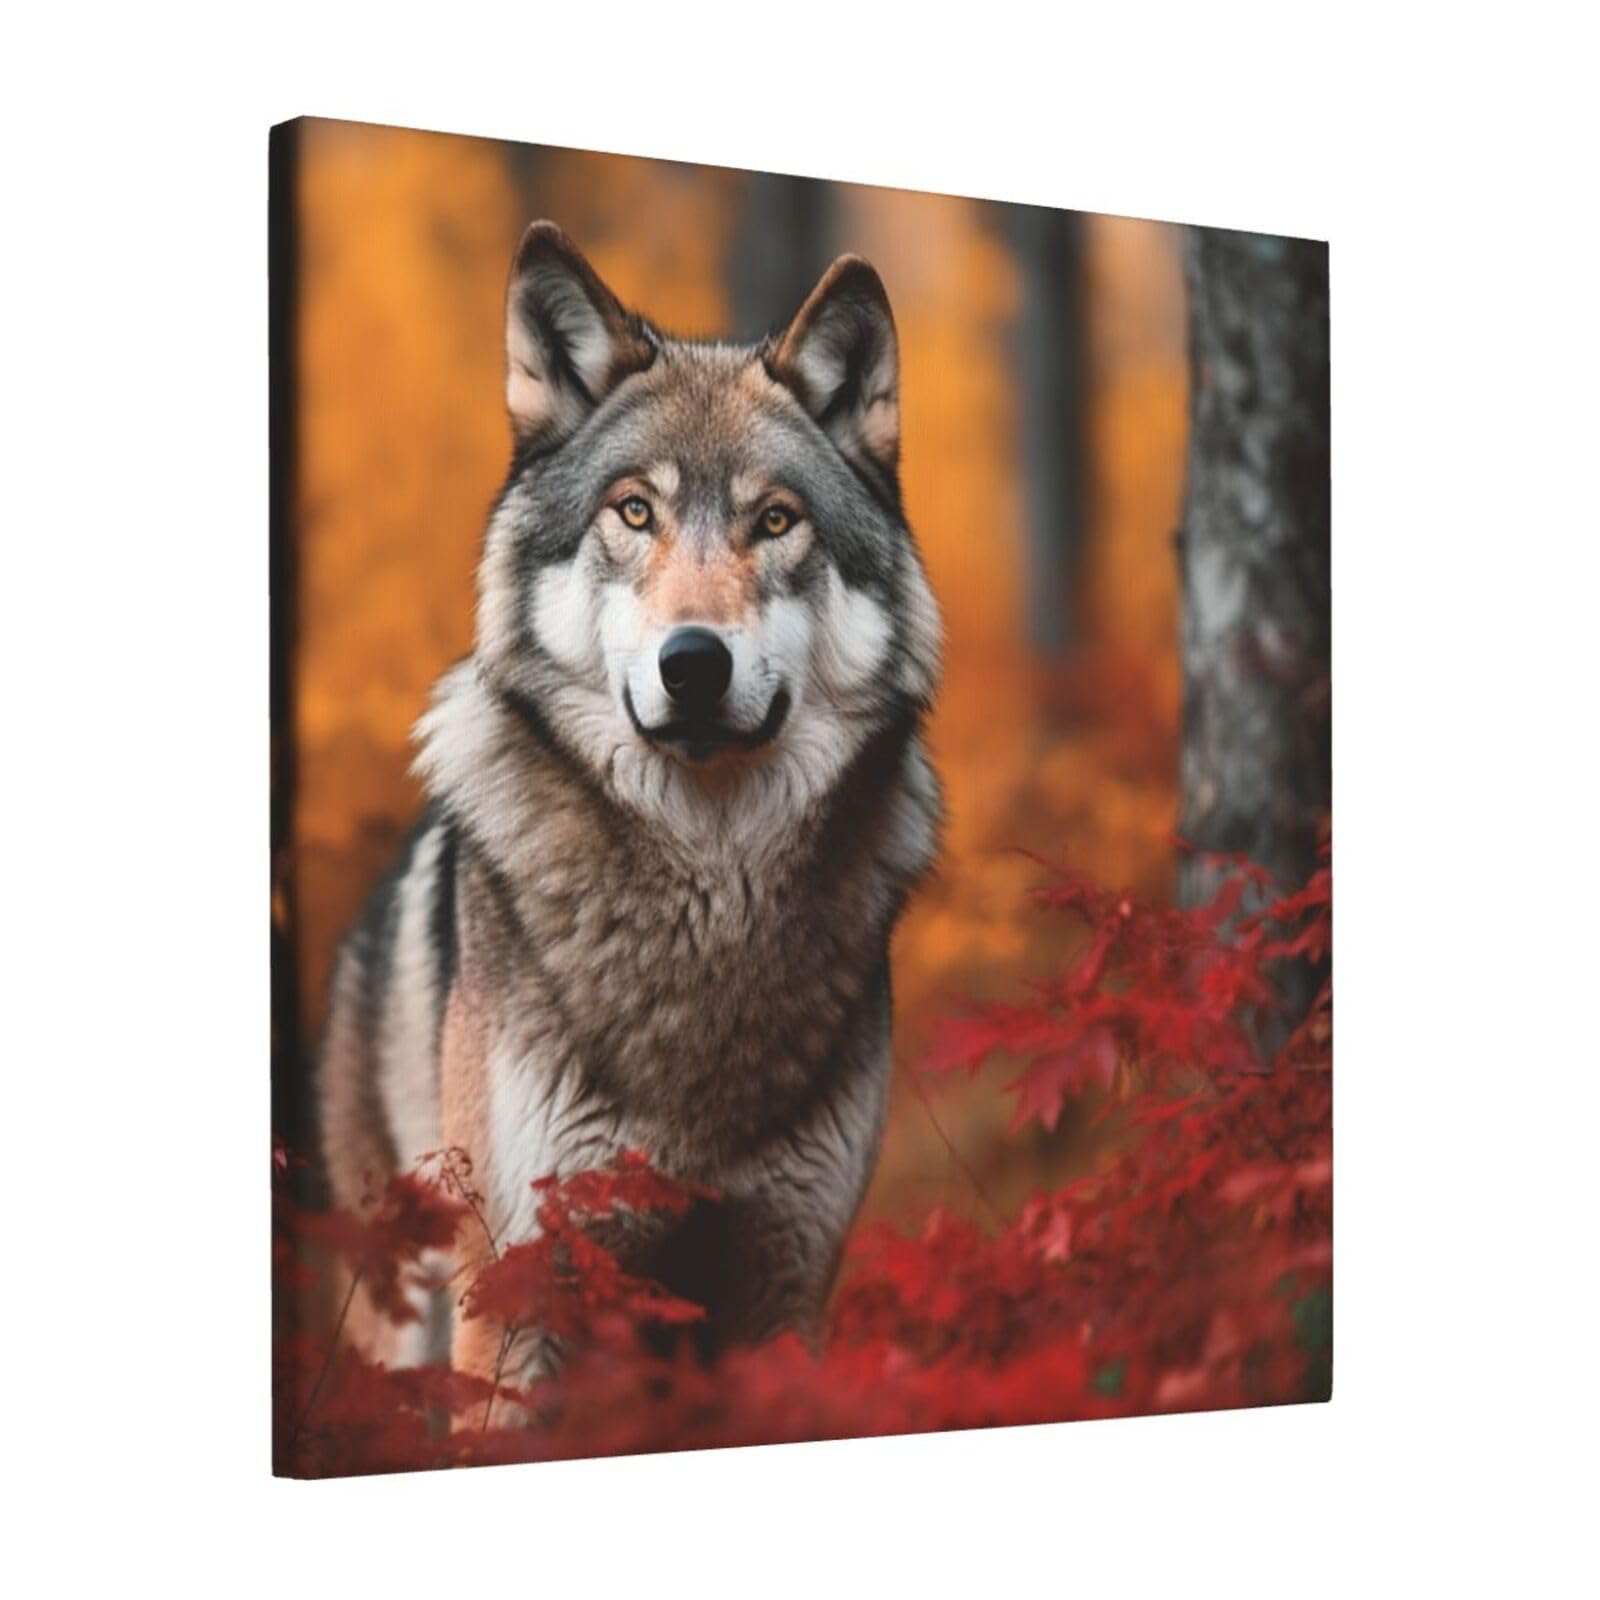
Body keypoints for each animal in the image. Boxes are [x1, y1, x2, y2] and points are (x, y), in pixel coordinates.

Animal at [318, 222, 943, 1391]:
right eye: (634, 511)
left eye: (775, 521)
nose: (692, 664)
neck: (707, 898)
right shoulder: (513, 1295)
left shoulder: (784, 1287)